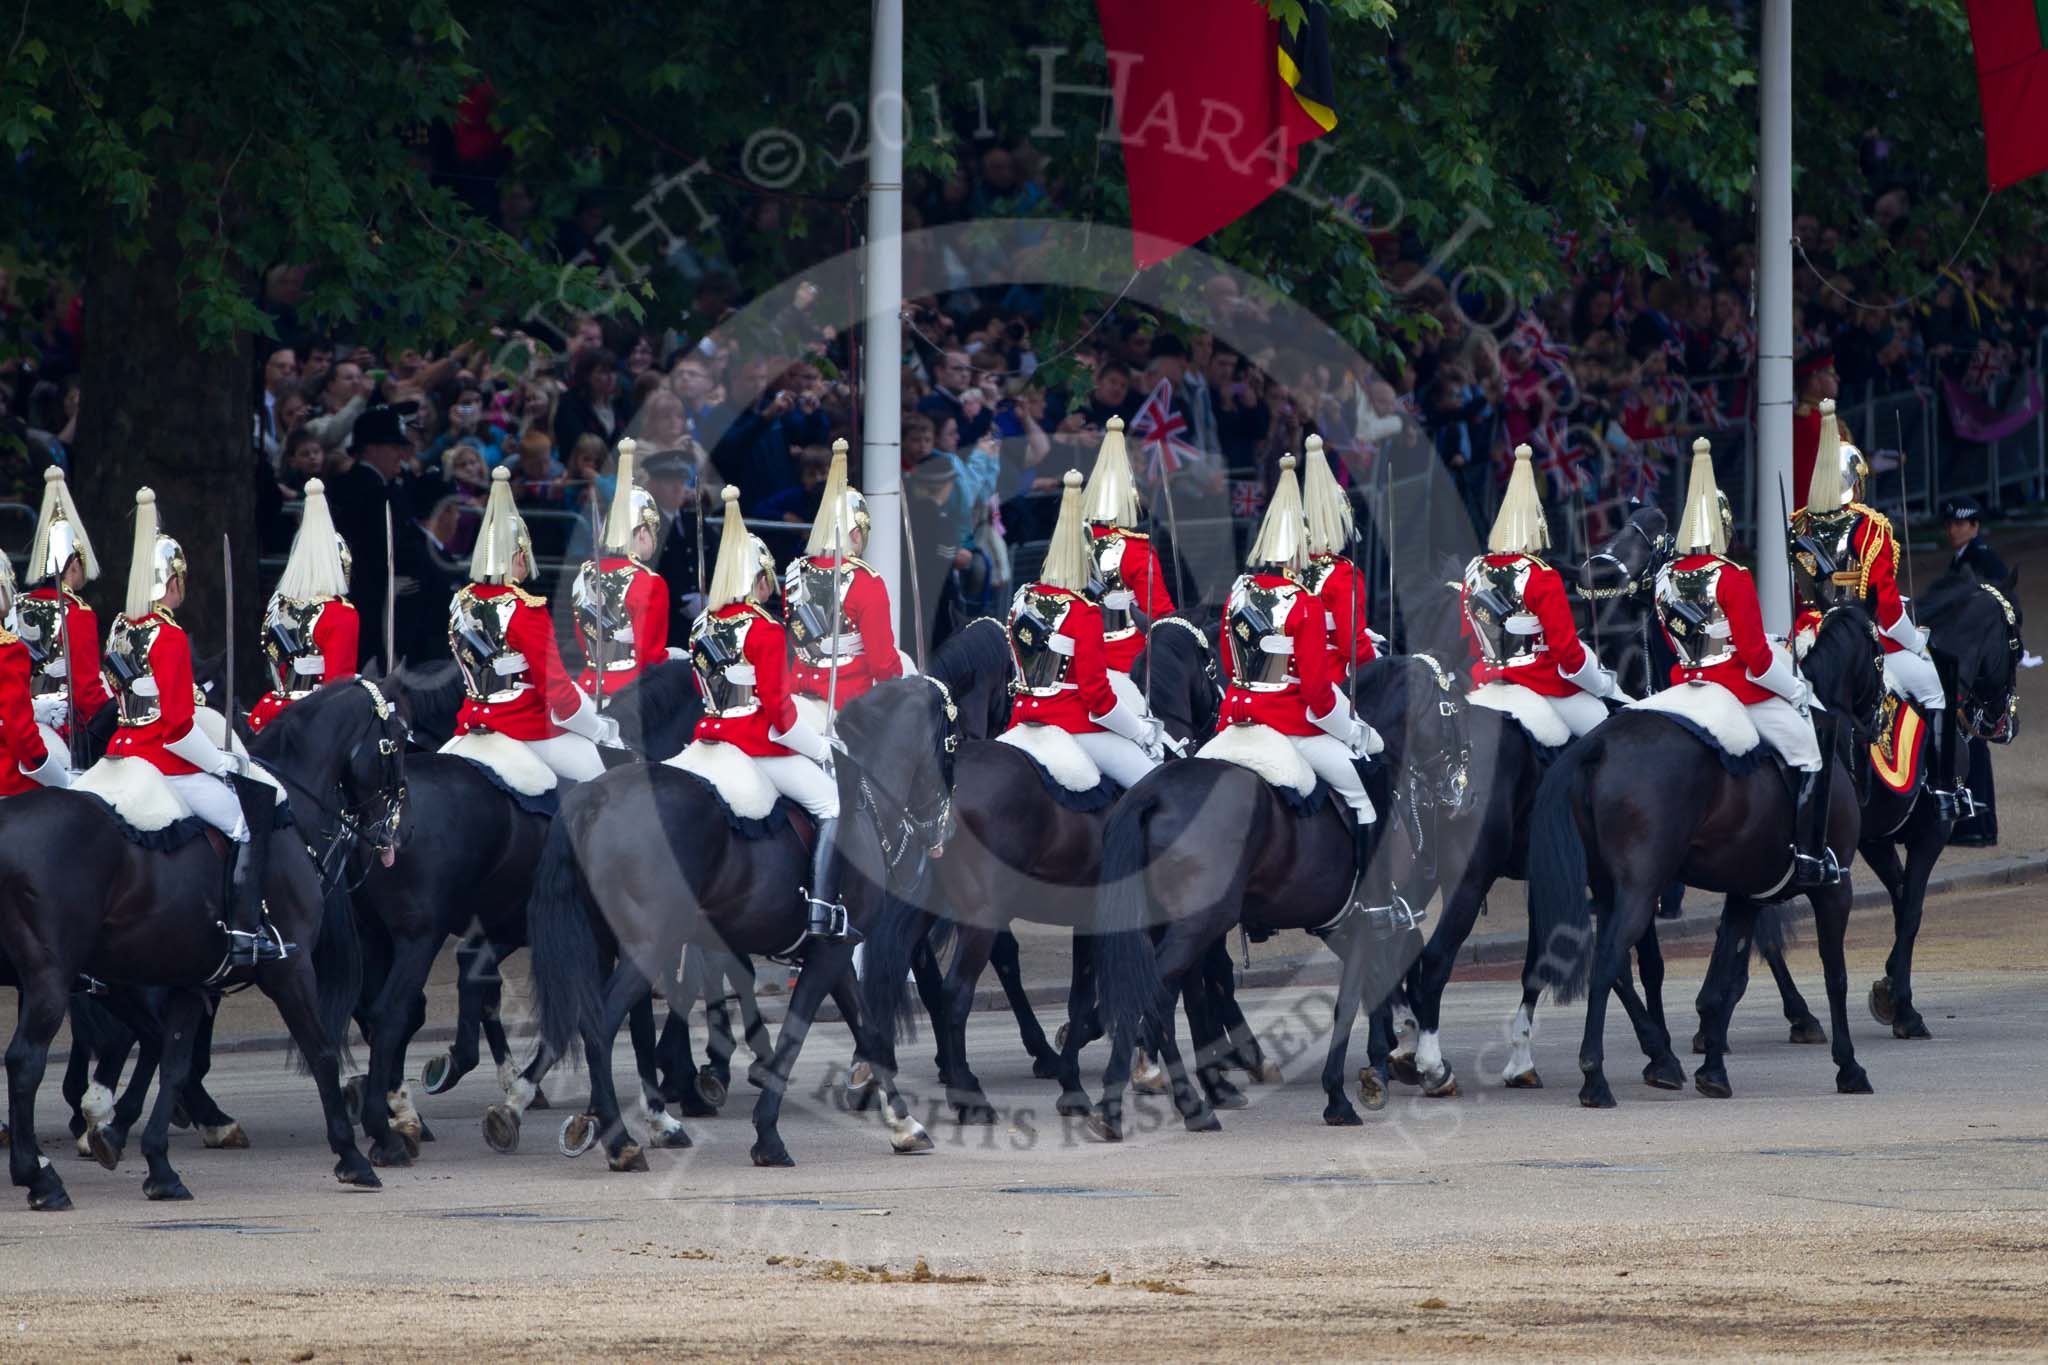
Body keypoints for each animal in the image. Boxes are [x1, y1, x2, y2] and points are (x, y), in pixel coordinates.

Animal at [0, 683, 403, 1203]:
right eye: (398, 740)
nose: (393, 832)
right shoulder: (288, 969)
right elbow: (321, 1051)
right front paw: (352, 1156)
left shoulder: (191, 979)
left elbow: (174, 1060)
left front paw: (154, 1162)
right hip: (53, 976)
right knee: (25, 1060)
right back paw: (40, 1177)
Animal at [512, 679, 958, 1170]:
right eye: (952, 743)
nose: (943, 831)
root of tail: (594, 797)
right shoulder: (828, 951)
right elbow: (795, 1035)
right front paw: (768, 1136)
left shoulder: (836, 951)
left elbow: (870, 1033)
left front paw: (904, 1124)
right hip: (649, 945)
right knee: (599, 1027)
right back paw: (620, 1139)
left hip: (605, 943)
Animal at [1523, 601, 1884, 1105]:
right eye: (1880, 653)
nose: (1881, 718)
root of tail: (1596, 743)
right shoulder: (1836, 888)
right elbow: (1836, 975)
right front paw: (1849, 1066)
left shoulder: (1746, 894)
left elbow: (1725, 980)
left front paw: (1713, 1070)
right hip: (1641, 888)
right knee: (1608, 959)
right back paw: (1597, 1077)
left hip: (1609, 886)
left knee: (1615, 965)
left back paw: (1659, 1061)